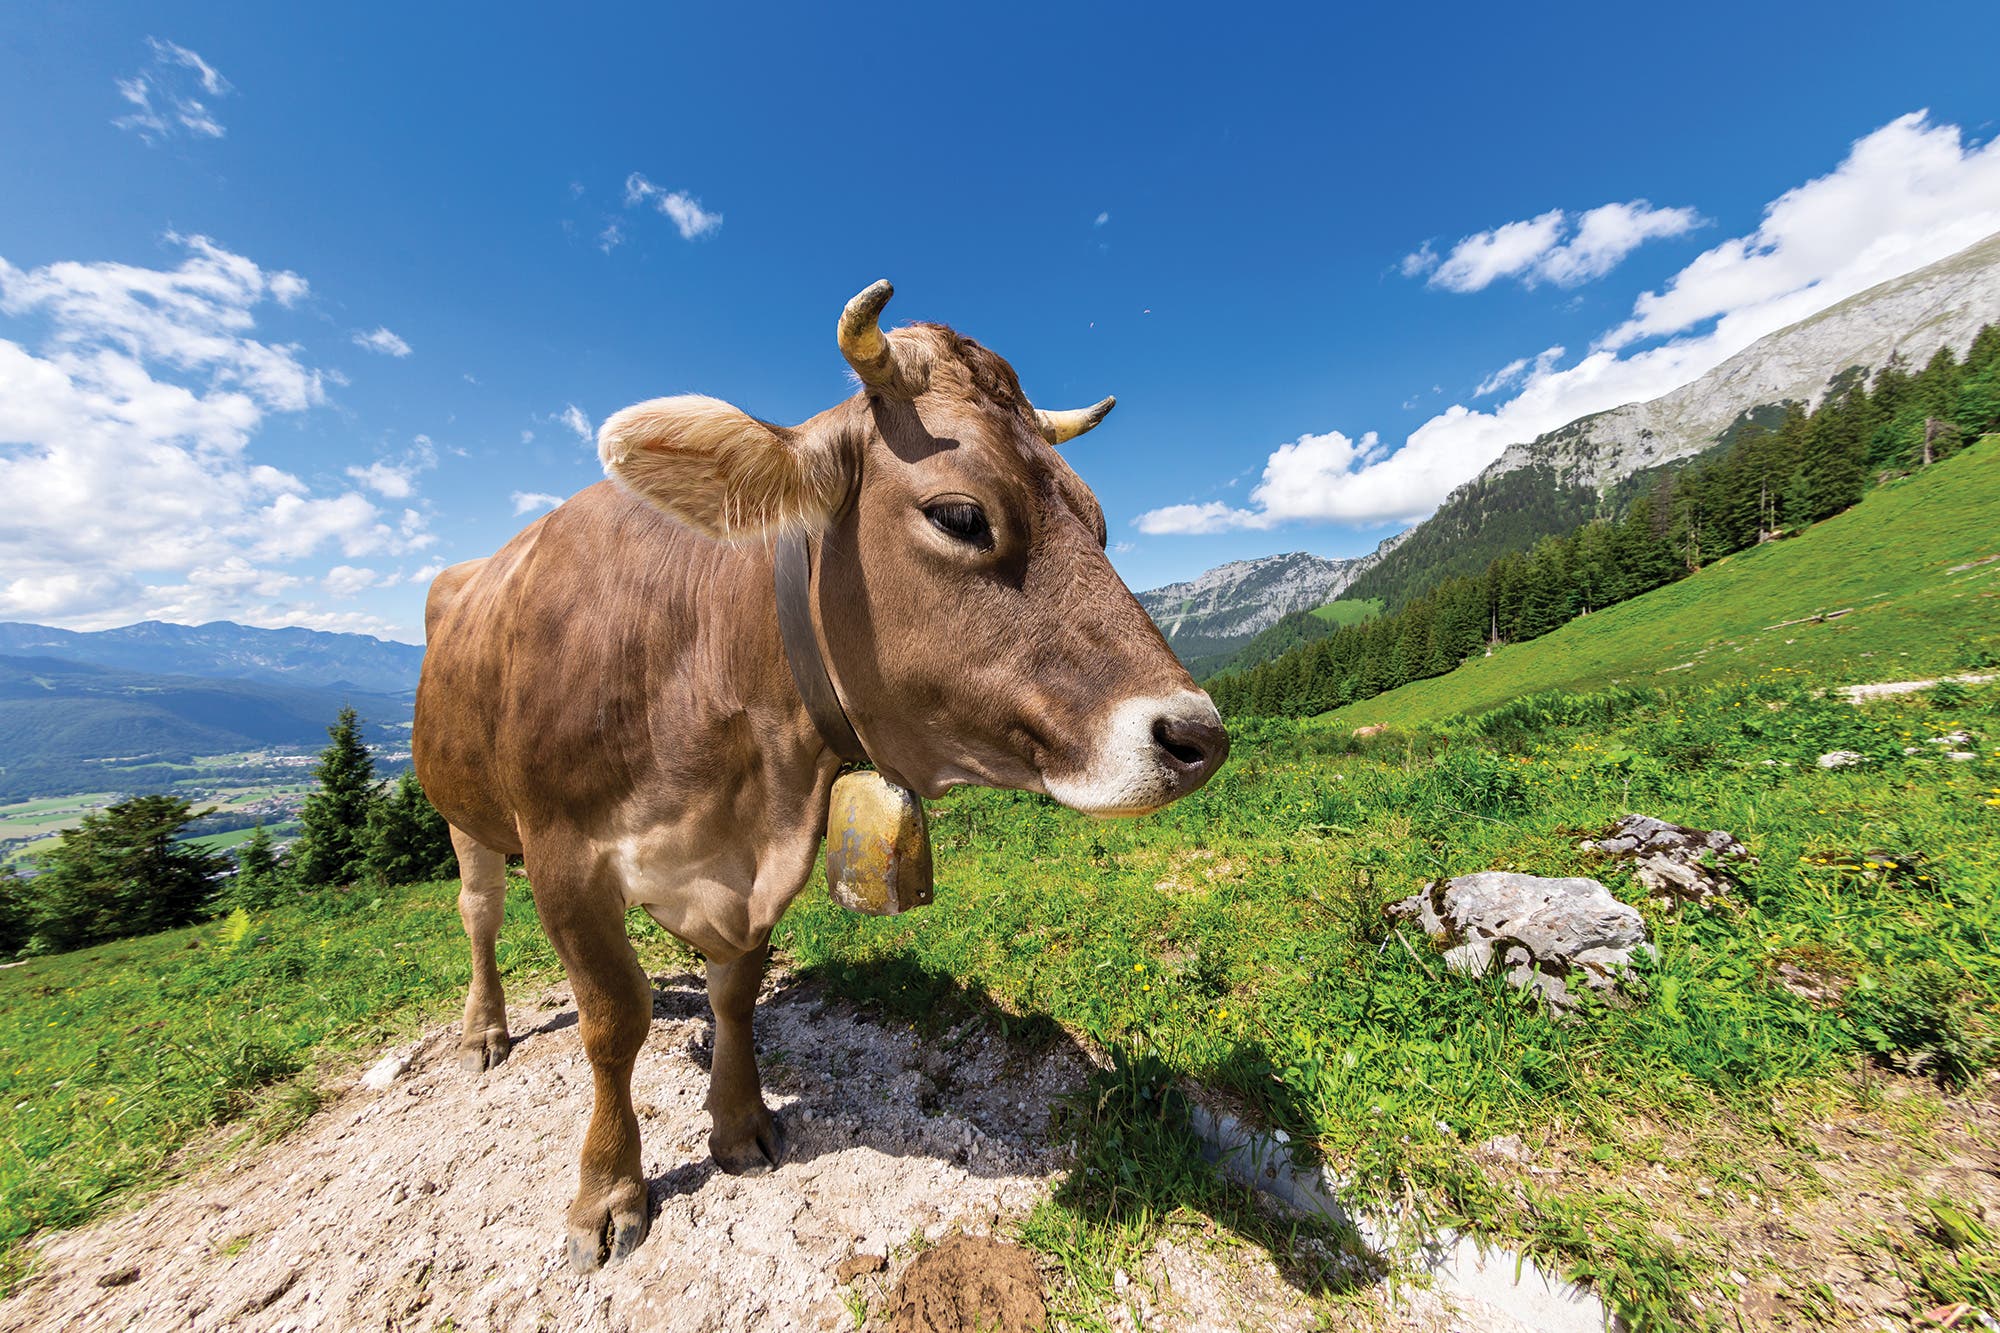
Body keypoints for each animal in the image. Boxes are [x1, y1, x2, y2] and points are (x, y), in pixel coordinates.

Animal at [413, 281, 1229, 1271]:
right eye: (961, 516)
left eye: (1100, 522)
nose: (1198, 735)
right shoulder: (565, 856)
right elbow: (614, 1020)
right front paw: (607, 1190)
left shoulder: (763, 862)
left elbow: (734, 991)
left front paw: (739, 1121)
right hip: (466, 812)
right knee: (479, 912)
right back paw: (484, 1030)